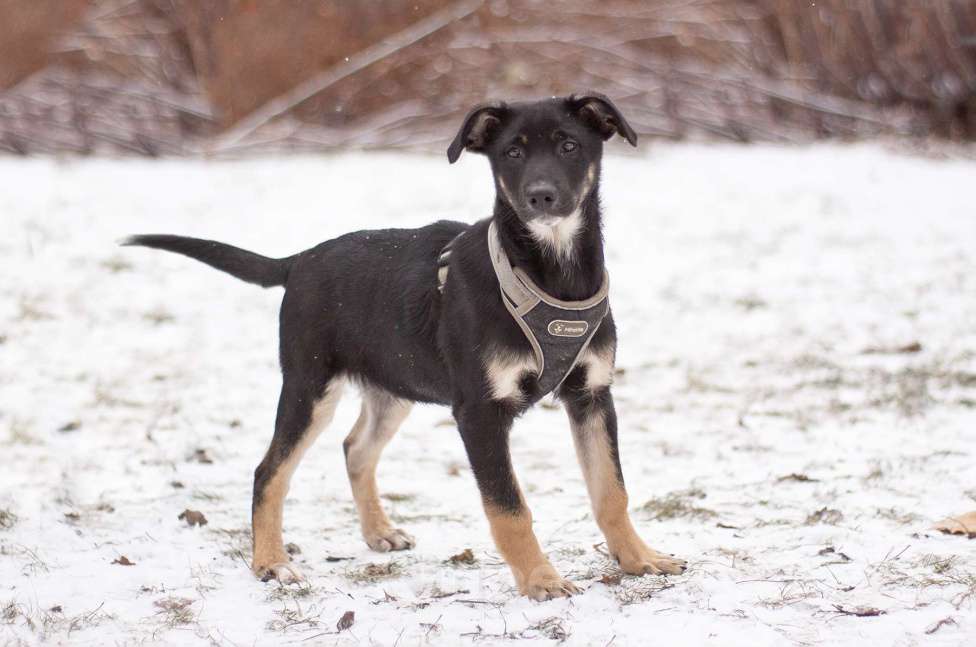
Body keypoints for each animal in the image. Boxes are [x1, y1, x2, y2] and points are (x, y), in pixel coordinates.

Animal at [124, 93, 688, 600]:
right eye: (512, 152)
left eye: (570, 145)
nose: (541, 196)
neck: (549, 272)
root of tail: (300, 260)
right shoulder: (479, 412)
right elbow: (509, 507)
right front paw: (540, 580)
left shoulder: (592, 394)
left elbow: (611, 490)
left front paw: (639, 558)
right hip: (310, 386)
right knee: (270, 471)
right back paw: (271, 563)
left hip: (394, 383)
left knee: (355, 449)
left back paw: (378, 532)